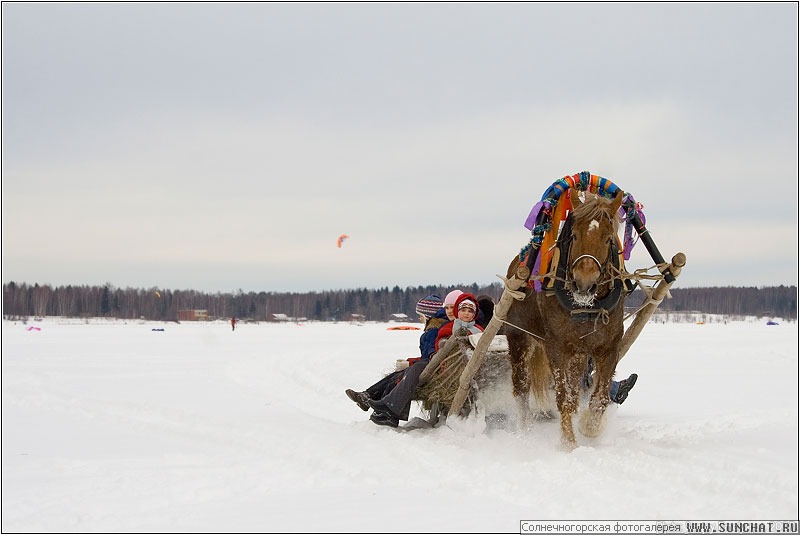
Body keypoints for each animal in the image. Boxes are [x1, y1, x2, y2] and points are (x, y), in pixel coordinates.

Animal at [506, 188, 624, 448]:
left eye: (608, 238)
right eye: (575, 235)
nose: (584, 284)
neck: (586, 308)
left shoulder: (608, 348)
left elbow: (599, 398)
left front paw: (589, 427)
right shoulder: (556, 348)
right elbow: (563, 397)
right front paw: (568, 442)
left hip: (578, 354)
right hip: (519, 339)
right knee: (521, 387)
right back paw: (524, 432)